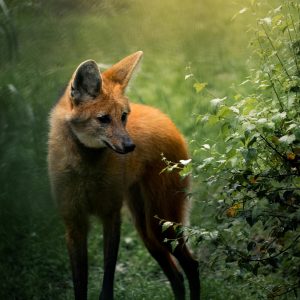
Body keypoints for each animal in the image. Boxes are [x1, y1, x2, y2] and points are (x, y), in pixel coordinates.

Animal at [48, 51, 200, 300]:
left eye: (124, 116)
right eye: (103, 119)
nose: (130, 146)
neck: (87, 170)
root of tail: (163, 116)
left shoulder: (111, 215)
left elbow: (107, 280)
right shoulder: (74, 223)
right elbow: (80, 286)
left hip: (161, 223)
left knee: (192, 265)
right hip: (147, 231)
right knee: (177, 276)